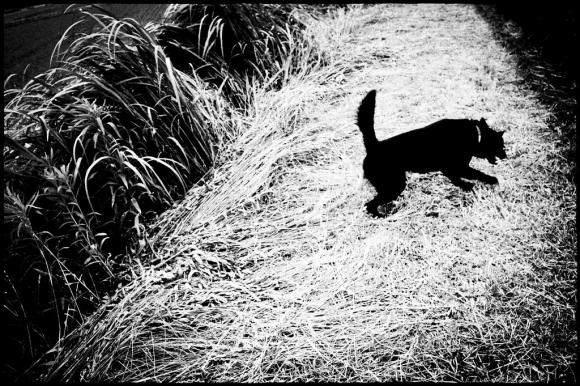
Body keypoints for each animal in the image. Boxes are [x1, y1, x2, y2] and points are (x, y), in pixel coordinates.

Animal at [356, 90, 506, 217]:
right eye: (500, 145)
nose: (505, 156)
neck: (476, 136)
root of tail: (374, 145)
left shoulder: (450, 169)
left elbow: (456, 179)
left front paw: (466, 186)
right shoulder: (459, 167)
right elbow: (478, 174)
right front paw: (492, 180)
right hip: (394, 185)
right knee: (369, 205)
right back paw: (382, 216)